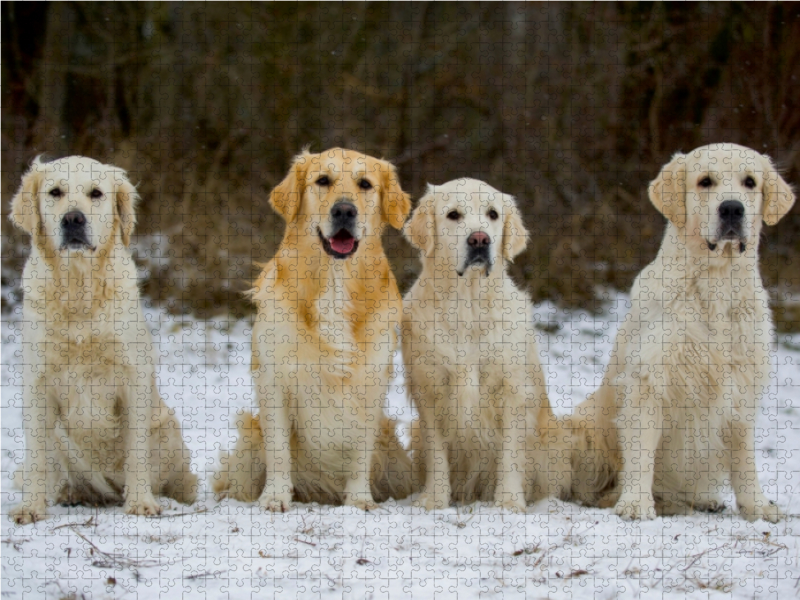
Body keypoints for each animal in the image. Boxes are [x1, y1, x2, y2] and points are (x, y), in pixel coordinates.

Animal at [9, 156, 198, 524]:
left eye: (96, 193)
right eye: (55, 192)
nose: (73, 219)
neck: (78, 287)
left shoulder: (132, 379)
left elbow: (136, 451)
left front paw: (141, 502)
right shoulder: (37, 384)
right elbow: (36, 456)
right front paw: (30, 507)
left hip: (167, 428)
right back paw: (70, 494)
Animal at [212, 149, 412, 510]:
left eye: (365, 184)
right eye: (323, 180)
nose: (344, 210)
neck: (334, 281)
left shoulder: (371, 383)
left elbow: (361, 451)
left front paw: (359, 499)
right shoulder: (274, 380)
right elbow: (279, 450)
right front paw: (275, 497)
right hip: (249, 441)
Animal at [406, 178, 568, 510]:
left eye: (492, 214)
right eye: (453, 215)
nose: (479, 239)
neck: (468, 305)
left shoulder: (512, 389)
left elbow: (510, 453)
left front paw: (508, 501)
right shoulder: (428, 387)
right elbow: (437, 452)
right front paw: (434, 498)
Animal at [568, 144, 792, 520]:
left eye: (750, 182)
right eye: (705, 181)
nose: (732, 208)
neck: (716, 284)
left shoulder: (741, 387)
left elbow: (744, 459)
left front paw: (758, 506)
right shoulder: (648, 381)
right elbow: (641, 454)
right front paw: (635, 504)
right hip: (583, 427)